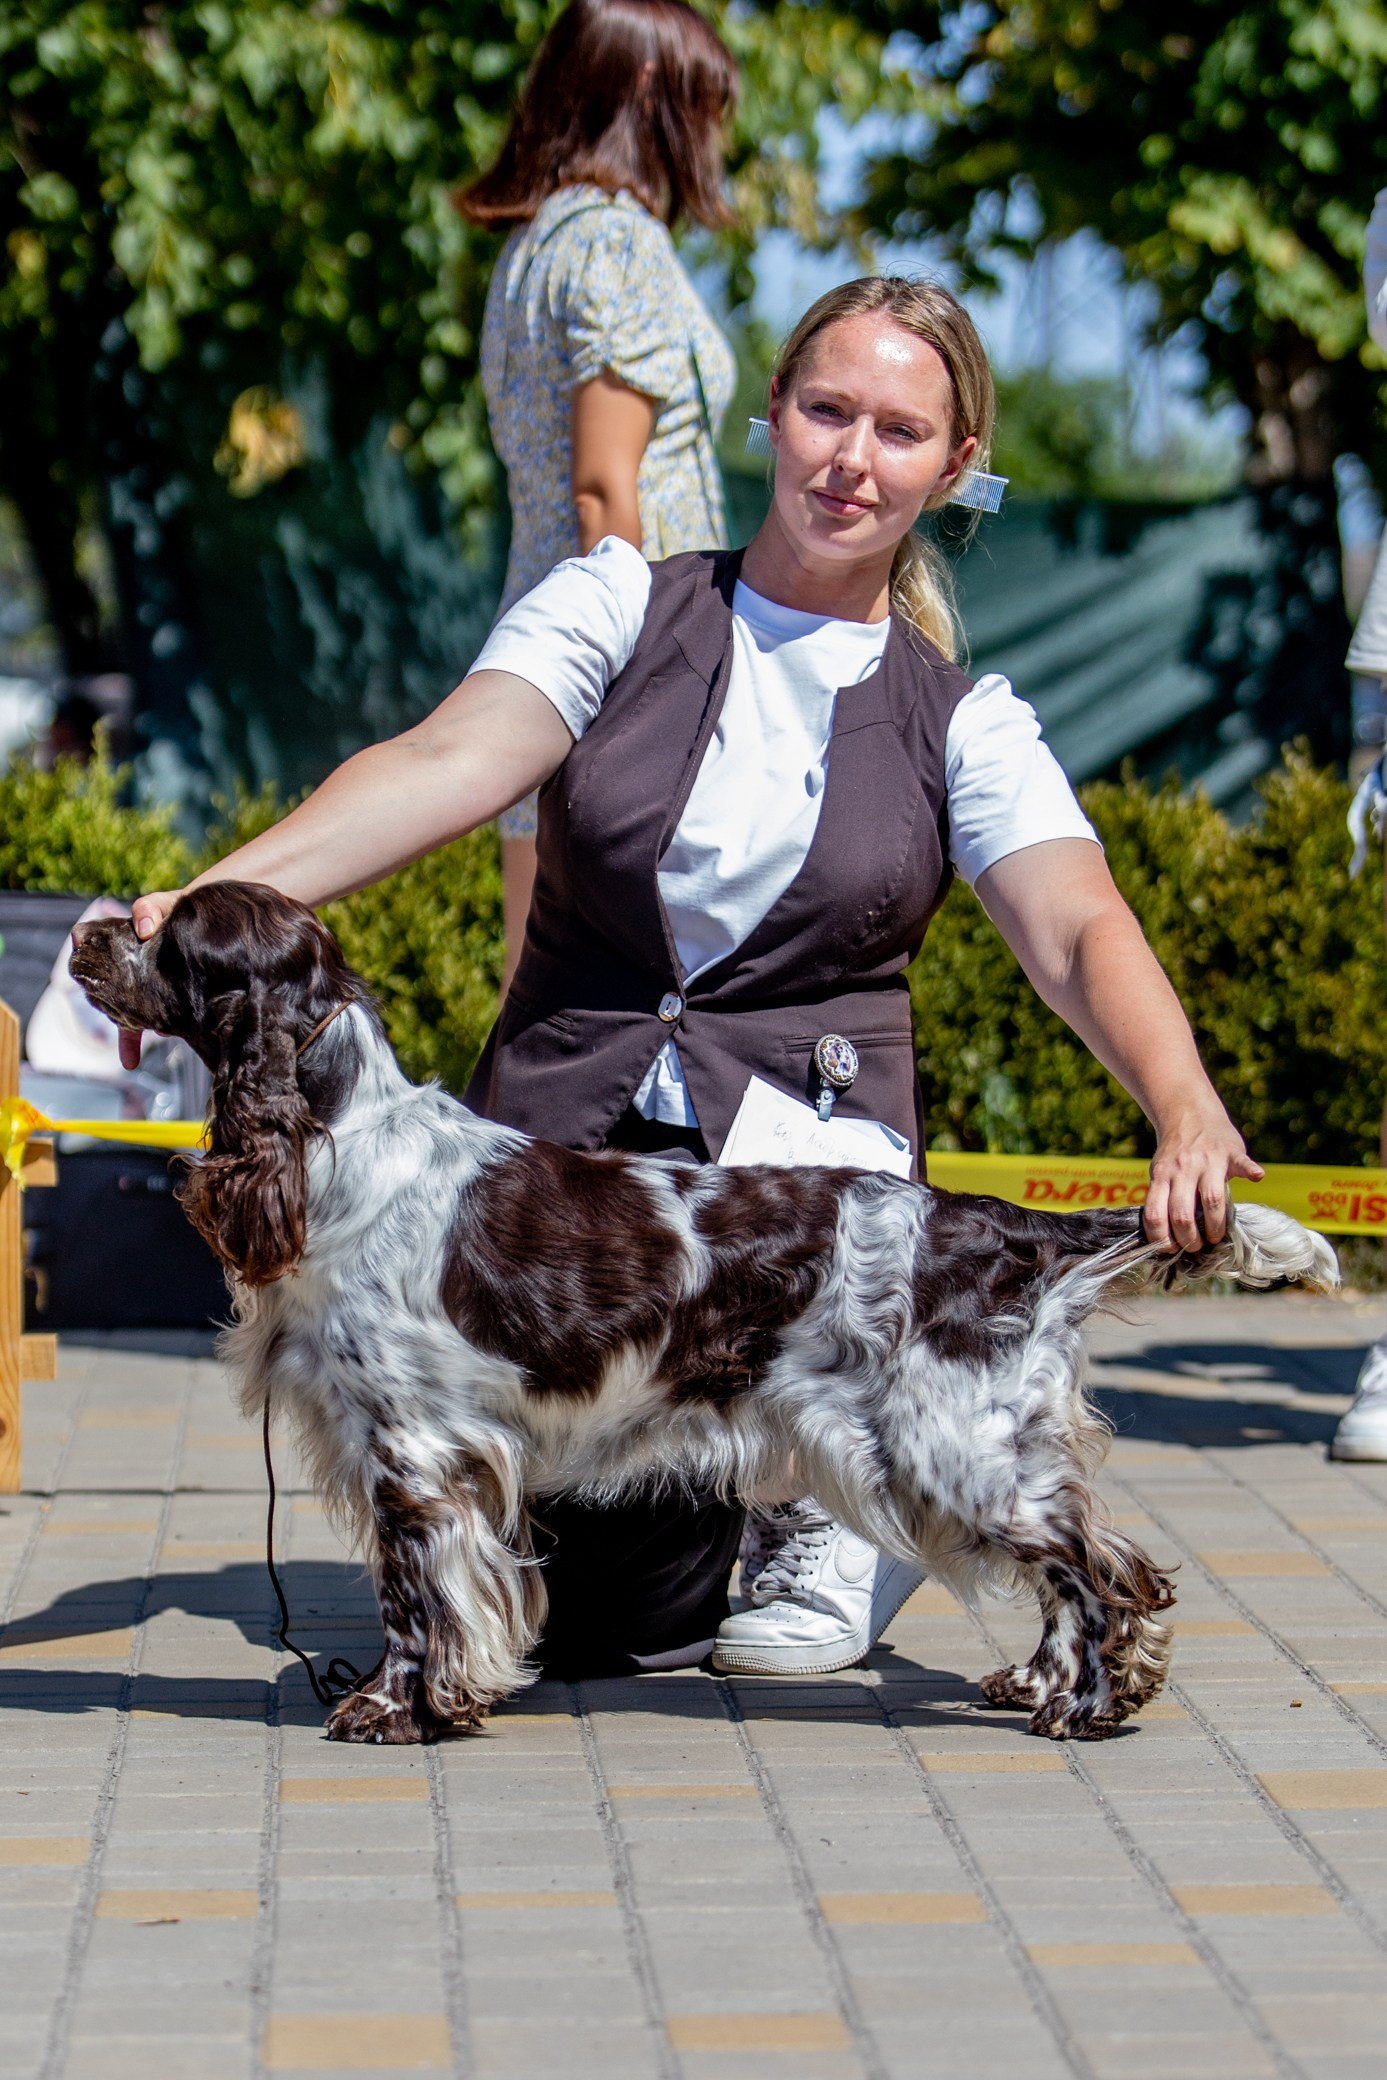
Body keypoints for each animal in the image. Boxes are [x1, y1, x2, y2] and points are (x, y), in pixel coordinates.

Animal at [69, 881, 1338, 1745]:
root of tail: (1002, 1226)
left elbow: (414, 1596)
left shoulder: (412, 1446)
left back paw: (1084, 1703)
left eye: (175, 935)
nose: (88, 928)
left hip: (948, 1449)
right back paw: (1046, 1683)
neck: (337, 1133)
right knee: (1086, 1557)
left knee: (1099, 1564)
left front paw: (394, 1709)